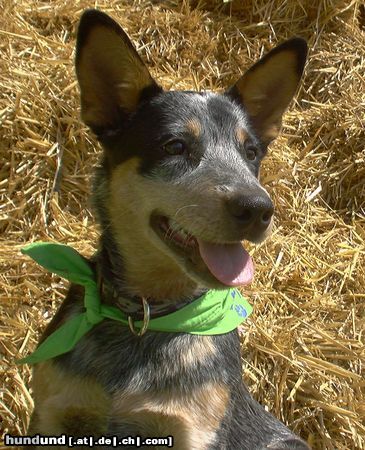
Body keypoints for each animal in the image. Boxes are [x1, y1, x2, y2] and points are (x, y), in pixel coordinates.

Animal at [25, 7, 308, 450]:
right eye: (175, 146)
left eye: (251, 152)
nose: (258, 208)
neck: (143, 318)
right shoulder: (53, 413)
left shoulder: (191, 431)